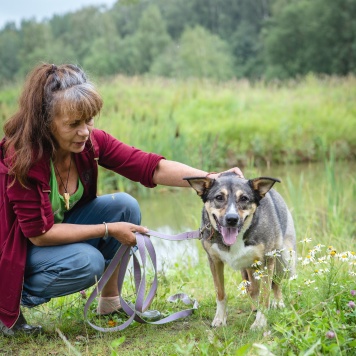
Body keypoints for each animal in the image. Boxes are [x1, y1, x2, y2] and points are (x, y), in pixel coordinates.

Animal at [185, 172, 296, 328]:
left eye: (244, 198)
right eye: (219, 197)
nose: (232, 219)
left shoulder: (267, 261)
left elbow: (265, 295)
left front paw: (260, 323)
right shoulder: (214, 261)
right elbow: (220, 293)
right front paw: (220, 318)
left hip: (284, 260)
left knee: (276, 282)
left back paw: (278, 302)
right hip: (251, 267)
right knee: (253, 288)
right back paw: (254, 306)